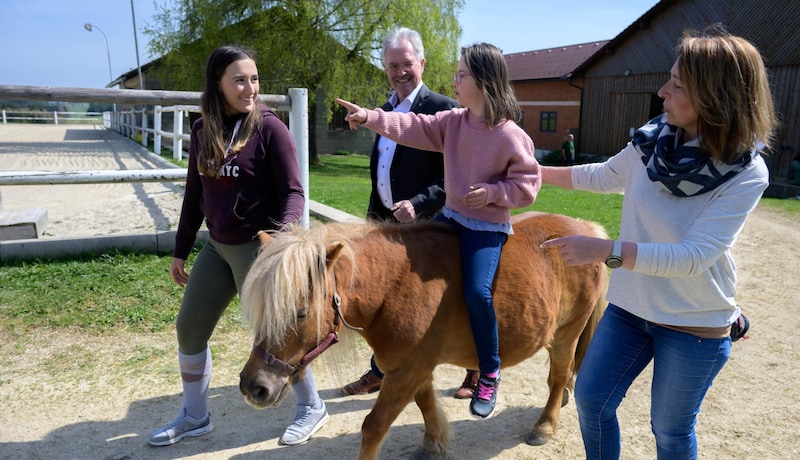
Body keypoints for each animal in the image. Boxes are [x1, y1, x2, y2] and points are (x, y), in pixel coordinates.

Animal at [238, 211, 608, 456]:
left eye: (300, 312)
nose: (253, 387)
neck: (394, 285)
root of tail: (586, 228)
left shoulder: (406, 370)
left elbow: (373, 426)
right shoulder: (413, 368)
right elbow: (426, 402)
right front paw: (434, 443)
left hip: (567, 333)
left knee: (558, 375)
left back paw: (545, 425)